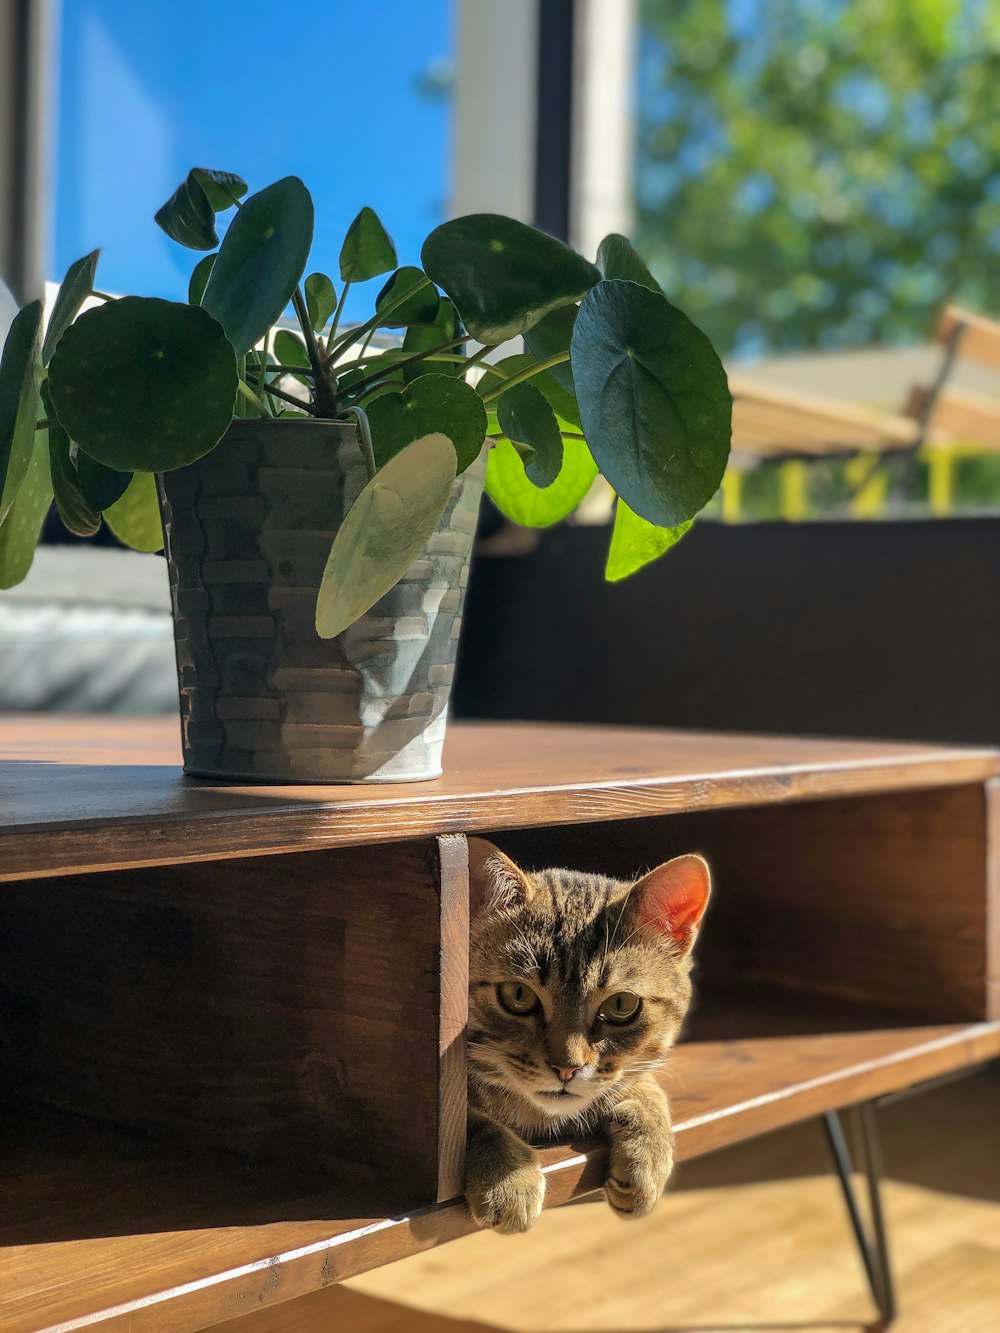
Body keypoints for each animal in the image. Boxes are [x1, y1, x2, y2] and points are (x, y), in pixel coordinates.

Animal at [469, 837, 714, 1231]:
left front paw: (650, 1153)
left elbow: (642, 1084)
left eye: (621, 1005)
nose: (566, 1069)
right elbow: (468, 1124)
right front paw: (509, 1176)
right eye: (518, 995)